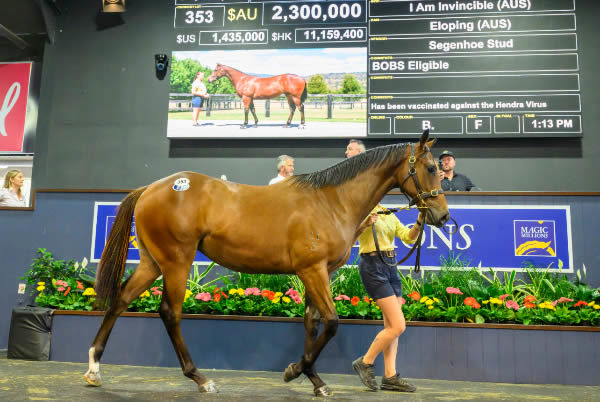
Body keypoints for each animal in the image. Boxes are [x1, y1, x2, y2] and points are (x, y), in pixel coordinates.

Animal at [85, 130, 450, 398]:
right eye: (432, 169)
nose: (442, 216)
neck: (330, 201)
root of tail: (150, 188)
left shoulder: (316, 272)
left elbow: (311, 322)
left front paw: (314, 379)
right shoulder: (313, 270)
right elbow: (331, 322)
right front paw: (295, 371)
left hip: (152, 262)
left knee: (120, 300)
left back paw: (93, 369)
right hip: (177, 261)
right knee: (169, 313)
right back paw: (200, 378)